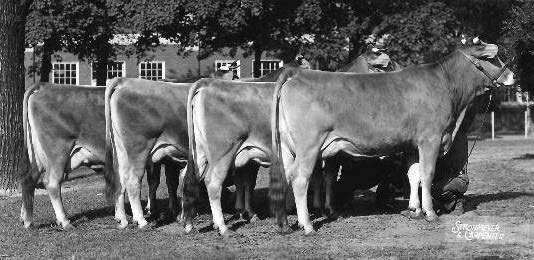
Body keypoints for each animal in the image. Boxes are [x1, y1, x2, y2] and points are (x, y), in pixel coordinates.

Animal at [272, 39, 516, 235]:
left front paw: (414, 209)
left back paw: (289, 222)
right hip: (309, 146)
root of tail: (296, 74)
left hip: (288, 147)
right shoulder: (430, 139)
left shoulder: (411, 145)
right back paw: (307, 225)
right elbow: (427, 174)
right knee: (300, 179)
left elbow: (413, 175)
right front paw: (429, 212)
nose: (512, 76)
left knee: (287, 176)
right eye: (491, 57)